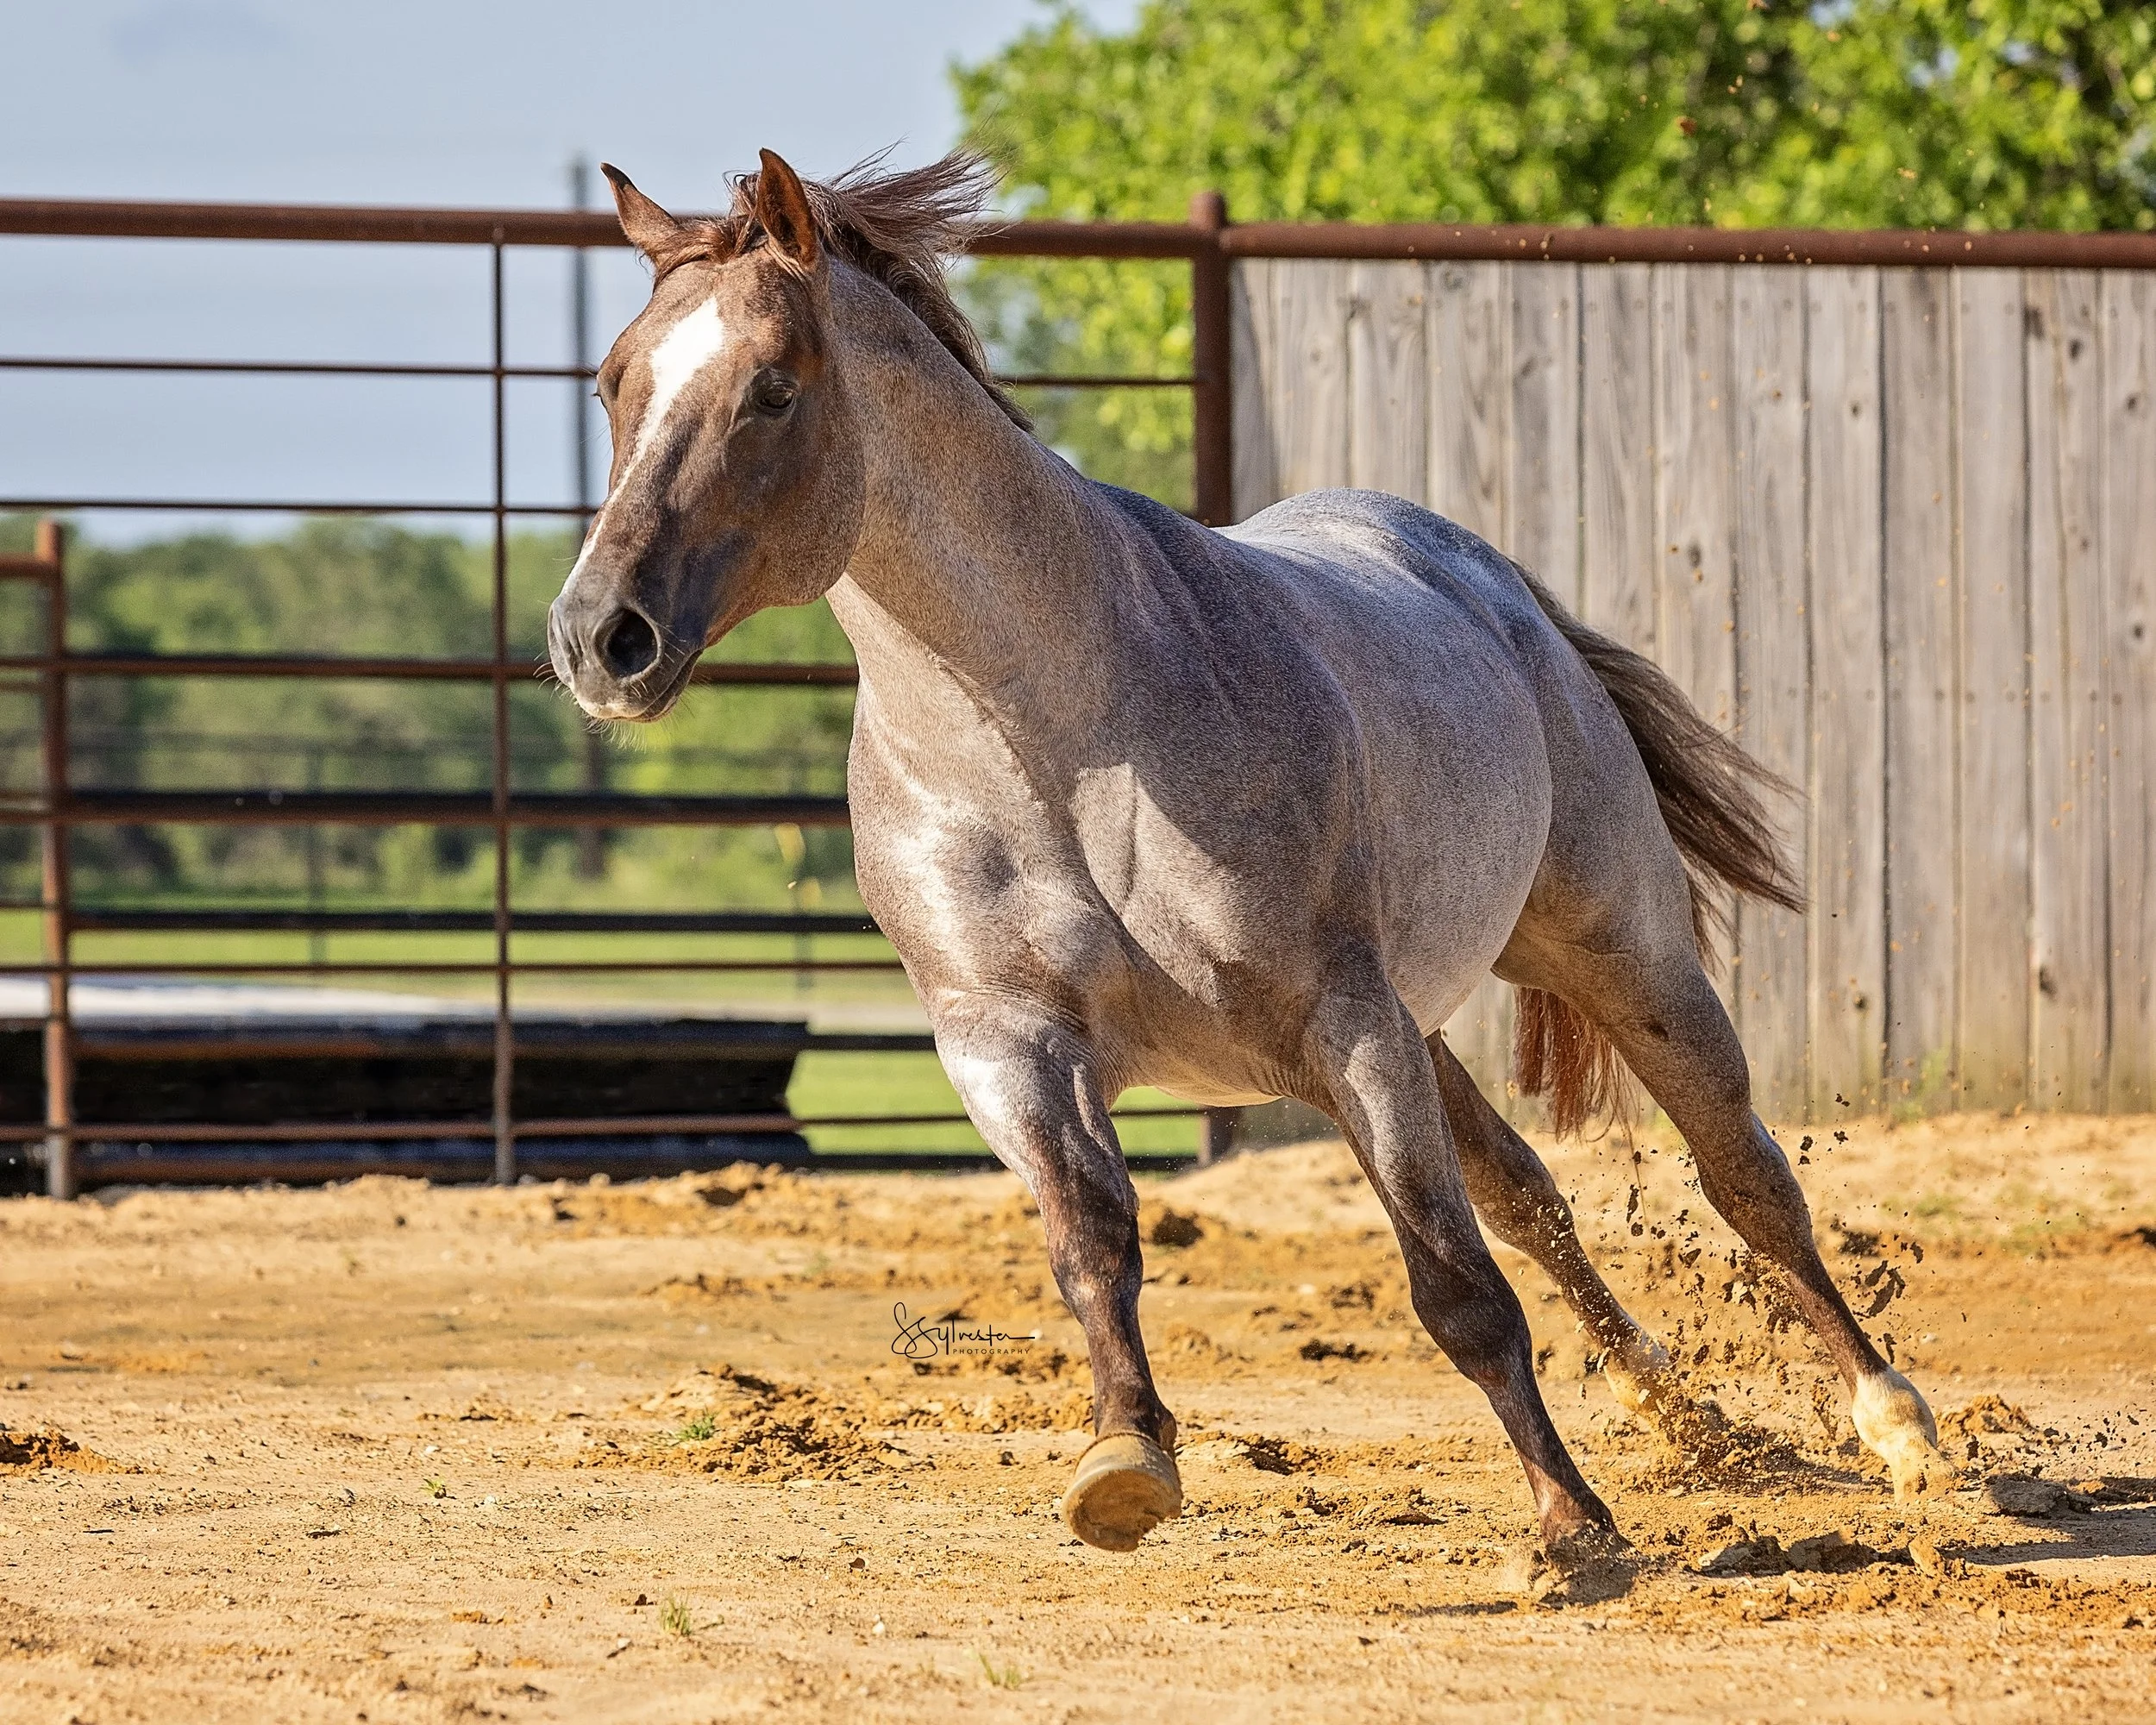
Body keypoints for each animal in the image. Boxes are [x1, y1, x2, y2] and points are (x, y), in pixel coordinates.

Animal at [546, 148, 1957, 1568]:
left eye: (774, 389)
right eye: (614, 381)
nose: (597, 635)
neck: (1062, 741)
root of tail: (1493, 584)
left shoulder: (1346, 1023)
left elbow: (1453, 1287)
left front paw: (1574, 1526)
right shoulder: (1005, 1046)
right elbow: (1095, 1247)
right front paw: (1124, 1462)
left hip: (1619, 957)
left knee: (1743, 1179)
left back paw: (1900, 1431)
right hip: (1430, 1024)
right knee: (1530, 1194)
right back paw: (1688, 1421)